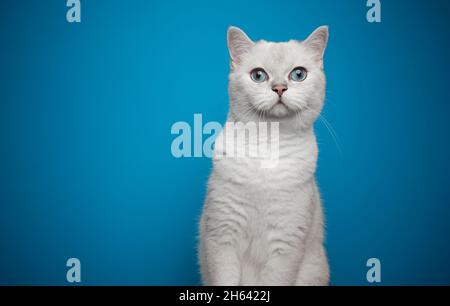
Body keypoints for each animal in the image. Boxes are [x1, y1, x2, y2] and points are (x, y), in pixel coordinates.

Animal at [200, 26, 330, 286]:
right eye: (258, 76)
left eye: (298, 74)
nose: (279, 88)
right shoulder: (222, 235)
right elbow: (225, 280)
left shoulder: (286, 246)